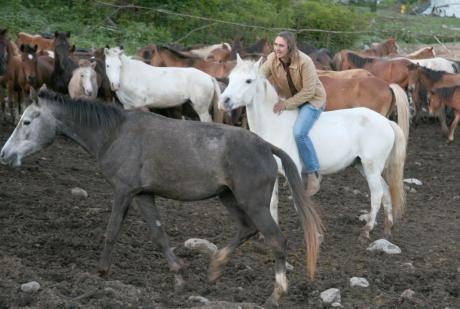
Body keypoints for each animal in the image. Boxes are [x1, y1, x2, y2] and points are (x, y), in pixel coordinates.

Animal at [0, 89, 322, 306]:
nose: (4, 154)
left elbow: (112, 231)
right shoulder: (143, 195)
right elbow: (158, 235)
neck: (115, 133)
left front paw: (100, 273)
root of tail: (266, 146)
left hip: (252, 202)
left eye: (26, 122)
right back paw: (214, 269)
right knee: (247, 229)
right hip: (229, 198)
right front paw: (179, 278)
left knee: (276, 240)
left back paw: (275, 295)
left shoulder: (124, 191)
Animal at [221, 54, 408, 238]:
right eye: (230, 79)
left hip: (371, 168)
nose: (224, 100)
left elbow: (299, 205)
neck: (275, 125)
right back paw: (387, 228)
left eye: (248, 81)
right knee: (386, 191)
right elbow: (273, 203)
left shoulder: (293, 173)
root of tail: (387, 122)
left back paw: (366, 230)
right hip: (362, 166)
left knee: (377, 194)